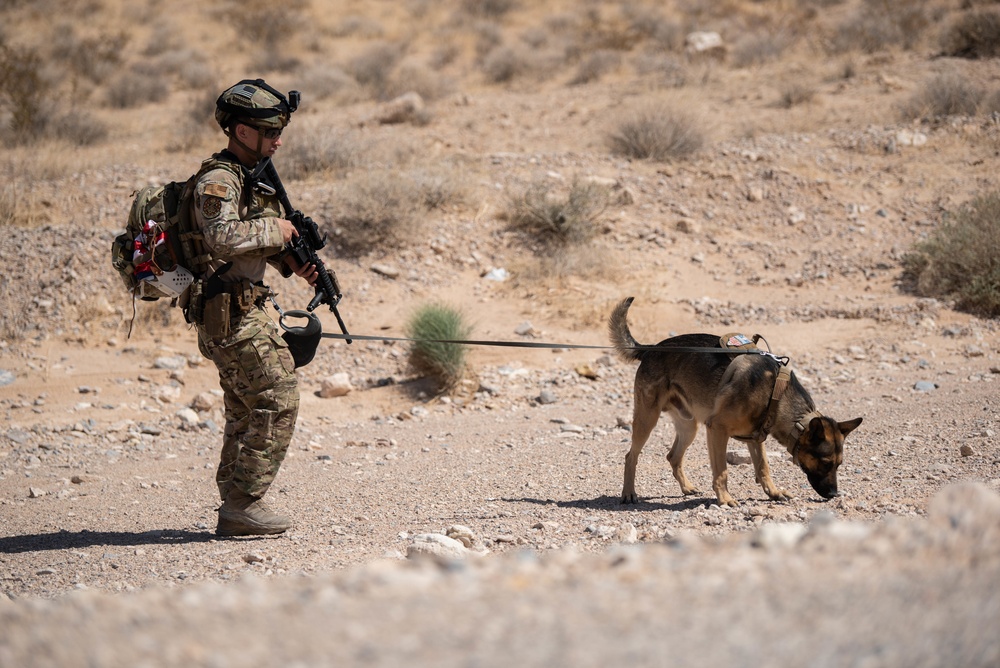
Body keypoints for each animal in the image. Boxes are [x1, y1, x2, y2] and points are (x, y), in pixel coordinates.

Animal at [604, 298, 864, 506]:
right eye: (826, 462)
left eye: (839, 464)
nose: (833, 495)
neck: (776, 393)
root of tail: (650, 349)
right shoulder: (717, 430)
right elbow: (722, 472)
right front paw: (725, 499)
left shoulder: (755, 437)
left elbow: (763, 467)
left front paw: (773, 492)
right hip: (648, 420)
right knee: (631, 456)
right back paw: (629, 493)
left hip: (689, 427)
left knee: (673, 457)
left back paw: (686, 487)